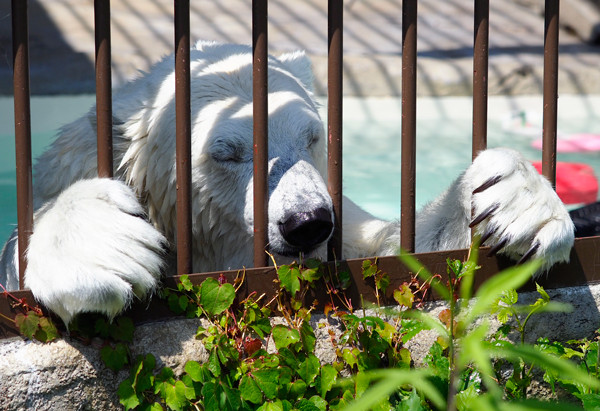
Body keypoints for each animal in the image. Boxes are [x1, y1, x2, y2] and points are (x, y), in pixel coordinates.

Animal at [0, 41, 576, 326]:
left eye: (312, 137)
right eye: (227, 152)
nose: (307, 223)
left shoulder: (344, 230)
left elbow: (401, 253)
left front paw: (515, 200)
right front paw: (98, 248)